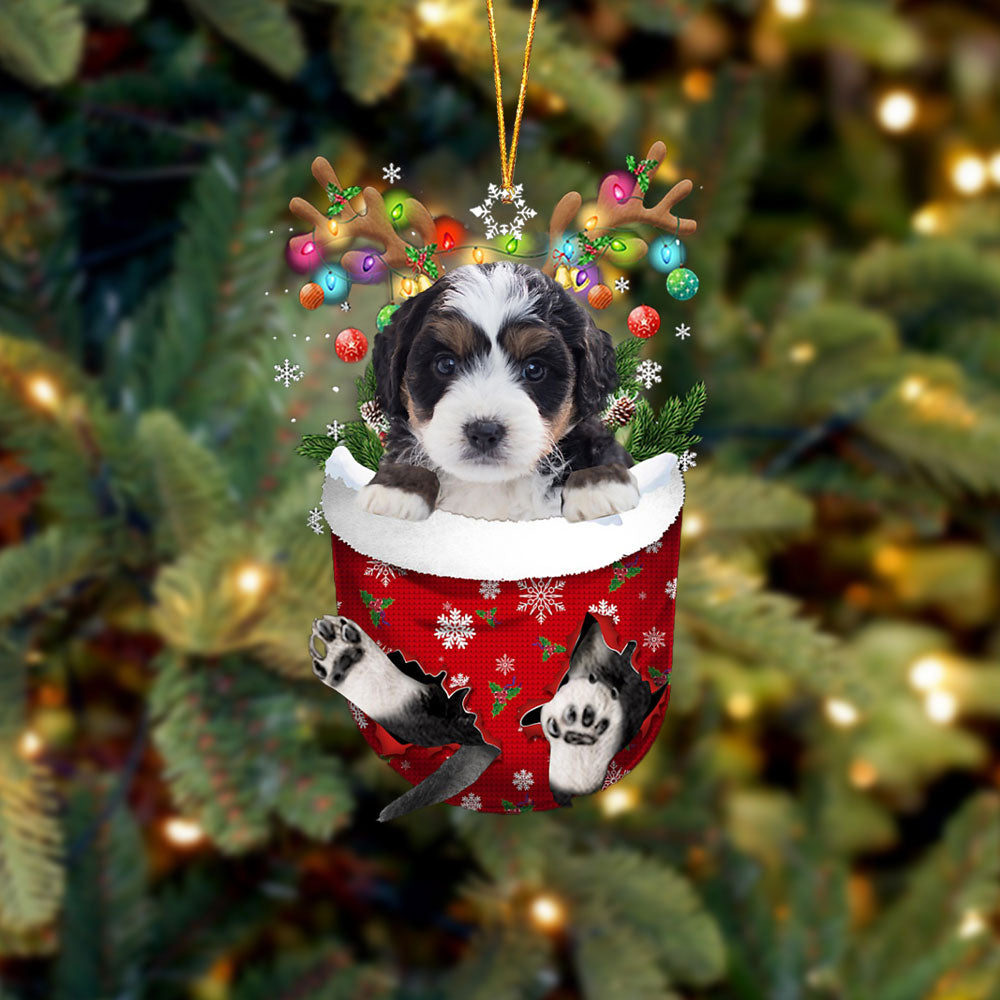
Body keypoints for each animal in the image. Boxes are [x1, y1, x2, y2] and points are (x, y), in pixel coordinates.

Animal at [360, 258, 640, 524]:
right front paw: (398, 488)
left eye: (534, 368)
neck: (491, 485)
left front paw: (597, 485)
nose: (484, 431)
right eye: (445, 364)